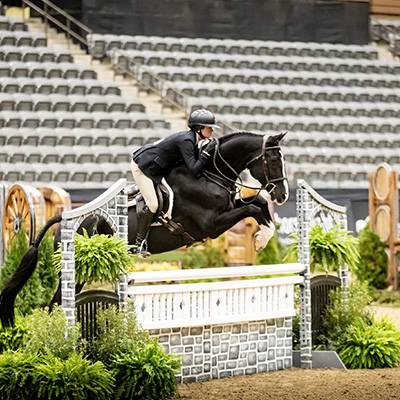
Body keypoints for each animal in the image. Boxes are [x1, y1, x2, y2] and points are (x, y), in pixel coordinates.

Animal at [0, 132, 288, 328]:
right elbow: (253, 210)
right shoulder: (211, 224)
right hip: (75, 270)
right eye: (273, 159)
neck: (210, 174)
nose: (283, 195)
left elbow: (258, 204)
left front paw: (264, 234)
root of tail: (64, 218)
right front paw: (261, 240)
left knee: (57, 303)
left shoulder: (228, 210)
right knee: (56, 303)